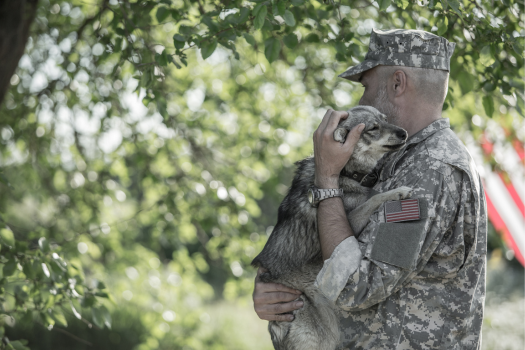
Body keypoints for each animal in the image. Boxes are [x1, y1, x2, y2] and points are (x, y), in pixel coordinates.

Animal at [252, 105, 412, 348]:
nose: (403, 133)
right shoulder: (351, 223)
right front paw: (397, 191)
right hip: (323, 337)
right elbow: (375, 197)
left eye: (386, 119)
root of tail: (275, 329)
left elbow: (372, 195)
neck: (345, 172)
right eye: (373, 128)